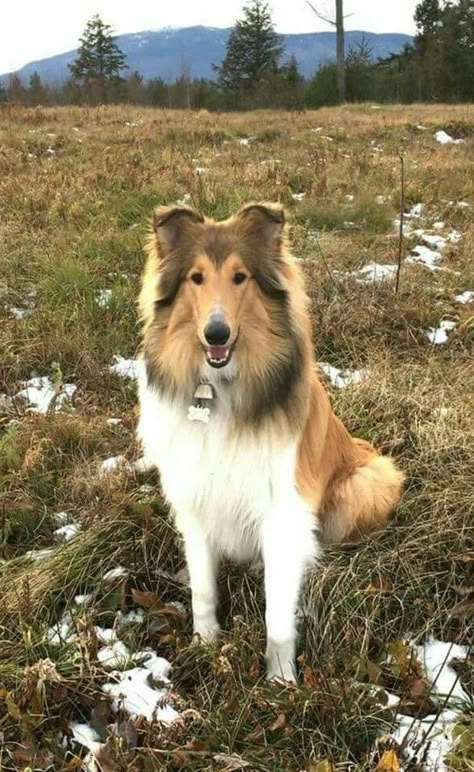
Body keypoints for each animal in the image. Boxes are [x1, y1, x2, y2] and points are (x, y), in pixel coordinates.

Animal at [138, 201, 404, 680]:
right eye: (196, 277)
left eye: (240, 277)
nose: (217, 334)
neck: (220, 392)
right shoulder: (195, 501)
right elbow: (203, 589)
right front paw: (205, 645)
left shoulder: (282, 510)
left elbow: (276, 613)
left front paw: (281, 679)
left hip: (366, 481)